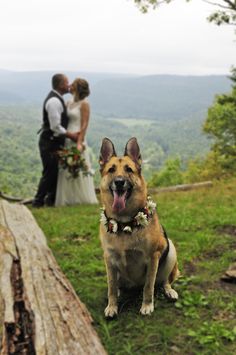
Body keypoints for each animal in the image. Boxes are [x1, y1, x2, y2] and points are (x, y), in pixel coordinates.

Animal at [98, 138, 178, 318]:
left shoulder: (153, 256)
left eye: (129, 169)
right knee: (116, 285)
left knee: (164, 281)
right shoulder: (109, 258)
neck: (124, 224)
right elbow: (111, 286)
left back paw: (169, 291)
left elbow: (148, 286)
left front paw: (147, 305)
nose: (119, 182)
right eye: (111, 170)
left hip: (170, 250)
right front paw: (112, 306)